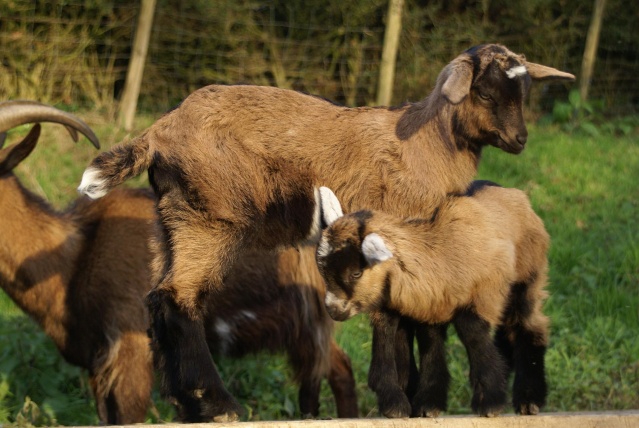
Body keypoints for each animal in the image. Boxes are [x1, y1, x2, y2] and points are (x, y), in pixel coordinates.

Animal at [318, 181, 552, 418]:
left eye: (355, 273)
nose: (332, 309)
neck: (440, 251)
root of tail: (514, 193)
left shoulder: (480, 296)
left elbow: (473, 333)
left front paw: (490, 402)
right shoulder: (428, 305)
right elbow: (429, 343)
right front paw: (423, 404)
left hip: (527, 277)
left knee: (528, 325)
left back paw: (529, 399)